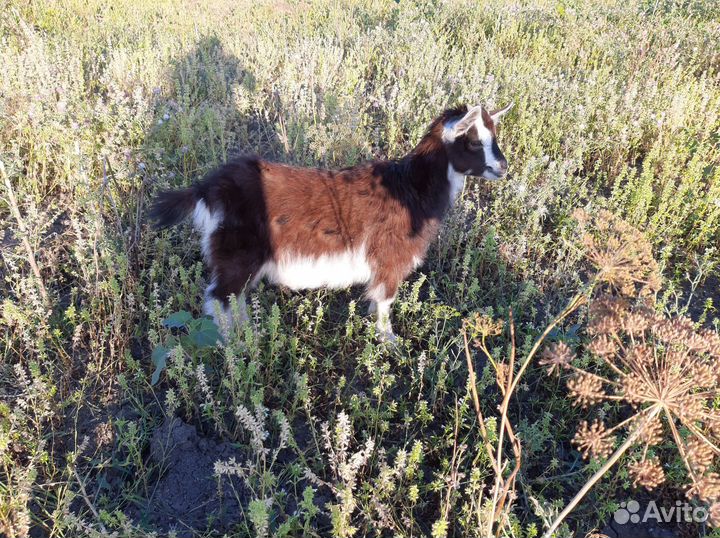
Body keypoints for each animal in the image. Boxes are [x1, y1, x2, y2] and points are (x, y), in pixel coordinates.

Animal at [150, 103, 512, 340]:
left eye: (494, 135)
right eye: (473, 141)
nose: (503, 167)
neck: (412, 187)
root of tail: (209, 188)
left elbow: (376, 298)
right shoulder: (389, 258)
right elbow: (386, 299)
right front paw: (388, 340)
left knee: (230, 297)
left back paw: (248, 332)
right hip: (238, 252)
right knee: (219, 297)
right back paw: (238, 344)